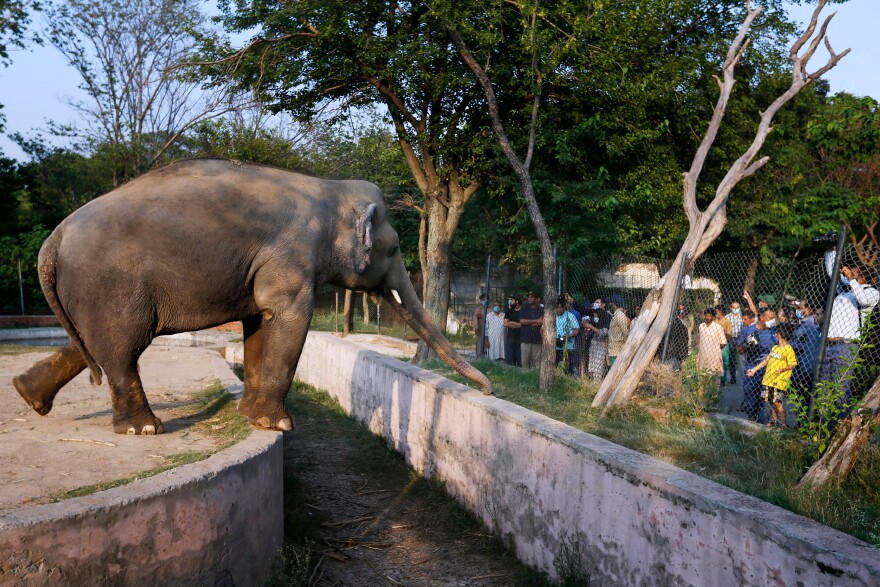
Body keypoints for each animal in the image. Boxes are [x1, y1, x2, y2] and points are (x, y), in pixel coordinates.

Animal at [13, 158, 492, 434]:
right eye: (392, 250)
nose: (487, 390)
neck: (327, 190)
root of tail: (53, 240)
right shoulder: (292, 256)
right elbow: (289, 319)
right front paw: (279, 426)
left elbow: (259, 322)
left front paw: (250, 417)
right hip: (110, 285)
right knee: (123, 347)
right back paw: (144, 430)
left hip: (90, 291)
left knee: (94, 342)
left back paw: (26, 395)